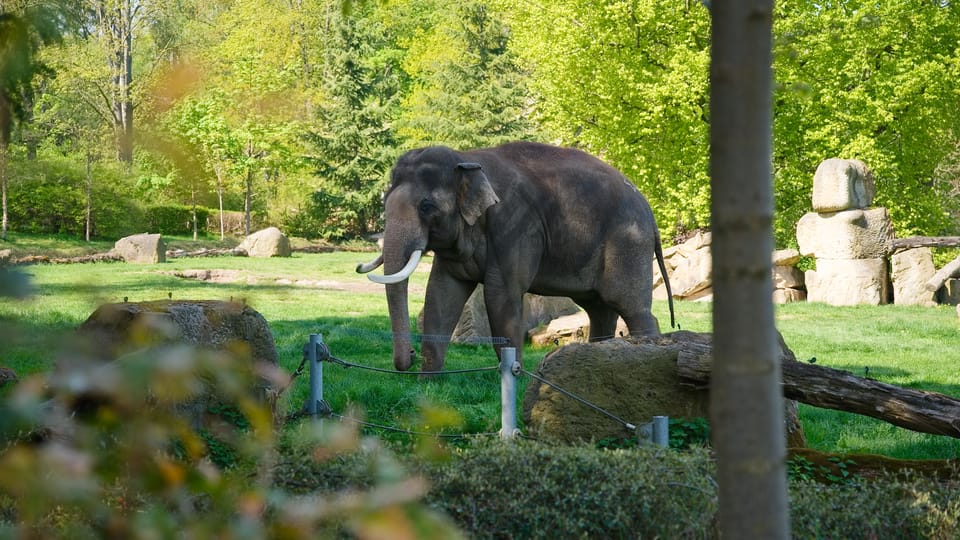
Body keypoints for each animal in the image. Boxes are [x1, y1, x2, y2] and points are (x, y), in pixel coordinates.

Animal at [357, 141, 674, 372]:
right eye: (385, 203)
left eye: (426, 206)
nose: (409, 357)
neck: (467, 158)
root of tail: (650, 212)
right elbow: (440, 293)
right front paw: (429, 384)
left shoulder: (515, 226)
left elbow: (501, 295)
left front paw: (514, 373)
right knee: (600, 309)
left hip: (628, 243)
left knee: (631, 307)